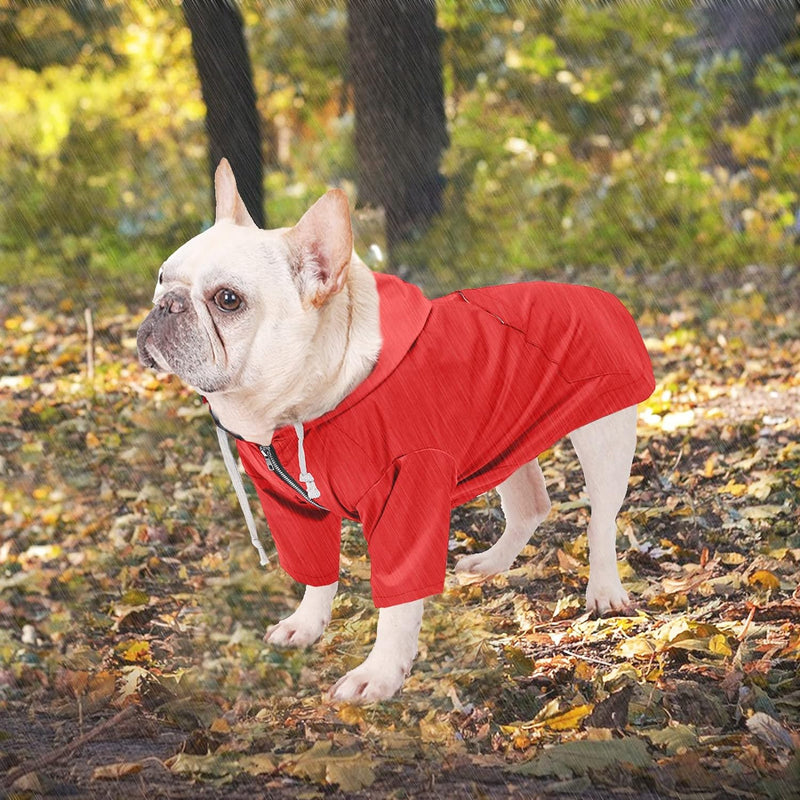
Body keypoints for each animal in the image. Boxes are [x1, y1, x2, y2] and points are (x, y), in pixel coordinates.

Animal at [136, 159, 648, 704]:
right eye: (162, 277)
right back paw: (492, 564)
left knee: (600, 519)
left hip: (603, 435)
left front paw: (379, 675)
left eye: (228, 300)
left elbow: (398, 603)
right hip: (509, 437)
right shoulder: (294, 511)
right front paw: (307, 625)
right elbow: (317, 574)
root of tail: (604, 297)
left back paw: (605, 590)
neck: (297, 411)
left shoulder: (408, 499)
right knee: (531, 504)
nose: (167, 304)